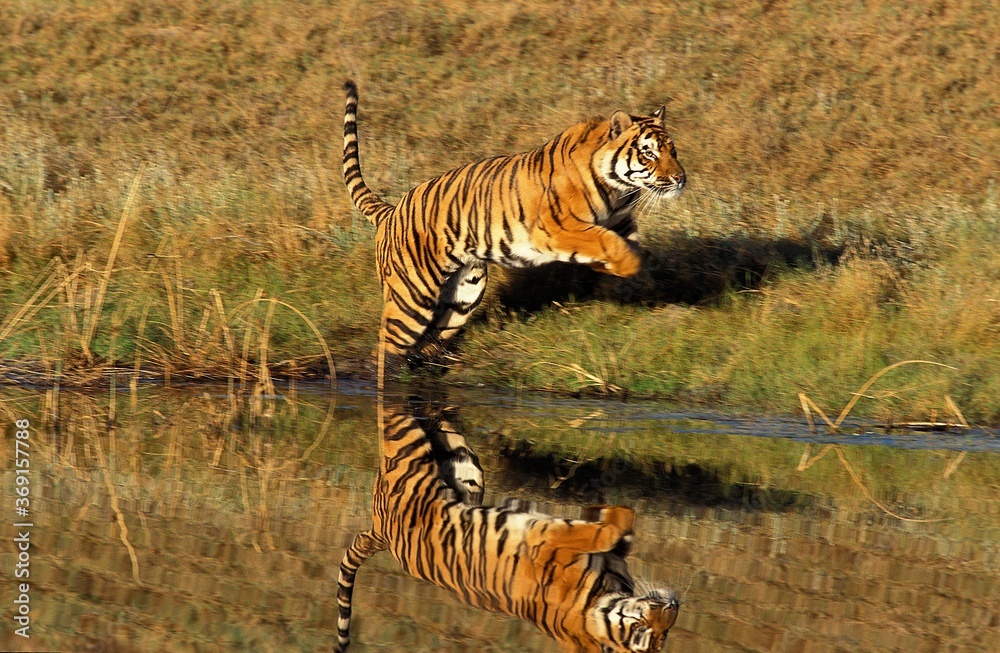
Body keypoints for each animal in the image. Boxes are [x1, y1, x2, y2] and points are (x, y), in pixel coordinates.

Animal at [334, 396, 680, 653]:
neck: (603, 598)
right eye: (644, 631)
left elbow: (616, 523)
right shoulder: (551, 537)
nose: (672, 607)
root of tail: (379, 531)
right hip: (421, 453)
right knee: (402, 412)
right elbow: (615, 523)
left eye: (662, 636)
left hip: (448, 464)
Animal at [342, 80, 686, 370]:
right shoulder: (555, 229)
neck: (618, 190)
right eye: (648, 153)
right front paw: (627, 267)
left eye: (672, 150)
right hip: (411, 297)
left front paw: (633, 274)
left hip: (464, 294)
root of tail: (390, 210)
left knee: (432, 338)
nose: (680, 178)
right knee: (385, 351)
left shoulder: (620, 222)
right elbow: (609, 243)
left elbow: (632, 246)